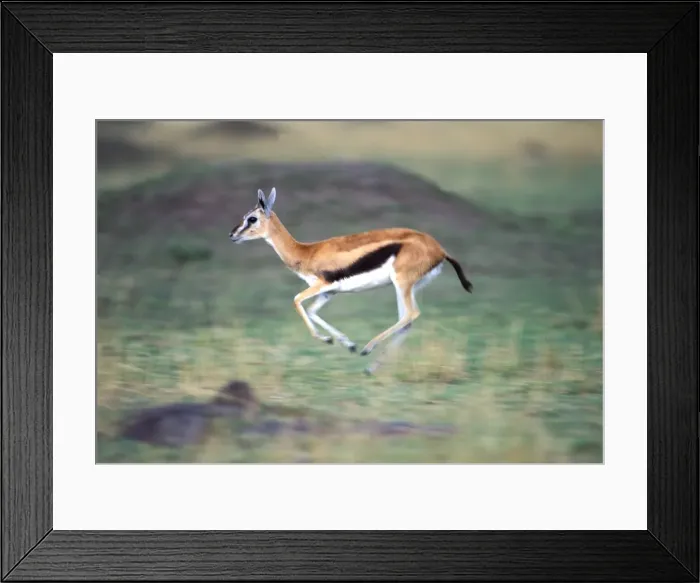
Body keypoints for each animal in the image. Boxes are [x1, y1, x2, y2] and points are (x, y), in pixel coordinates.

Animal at [229, 187, 473, 374]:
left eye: (252, 218)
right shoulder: (329, 292)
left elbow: (297, 301)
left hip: (401, 283)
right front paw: (345, 343)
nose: (232, 235)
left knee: (411, 314)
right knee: (406, 322)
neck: (306, 252)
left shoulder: (322, 285)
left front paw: (334, 341)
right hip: (407, 287)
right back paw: (371, 367)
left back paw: (368, 349)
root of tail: (440, 249)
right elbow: (312, 311)